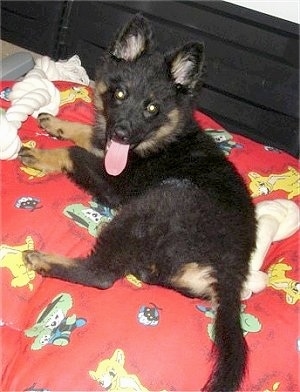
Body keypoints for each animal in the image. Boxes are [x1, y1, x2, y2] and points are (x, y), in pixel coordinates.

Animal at [19, 14, 256, 392]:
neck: (161, 140)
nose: (122, 134)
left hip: (156, 204)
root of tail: (232, 272)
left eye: (152, 108)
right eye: (119, 94)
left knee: (102, 274)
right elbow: (88, 135)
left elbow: (75, 153)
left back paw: (42, 259)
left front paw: (42, 154)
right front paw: (56, 122)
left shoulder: (115, 185)